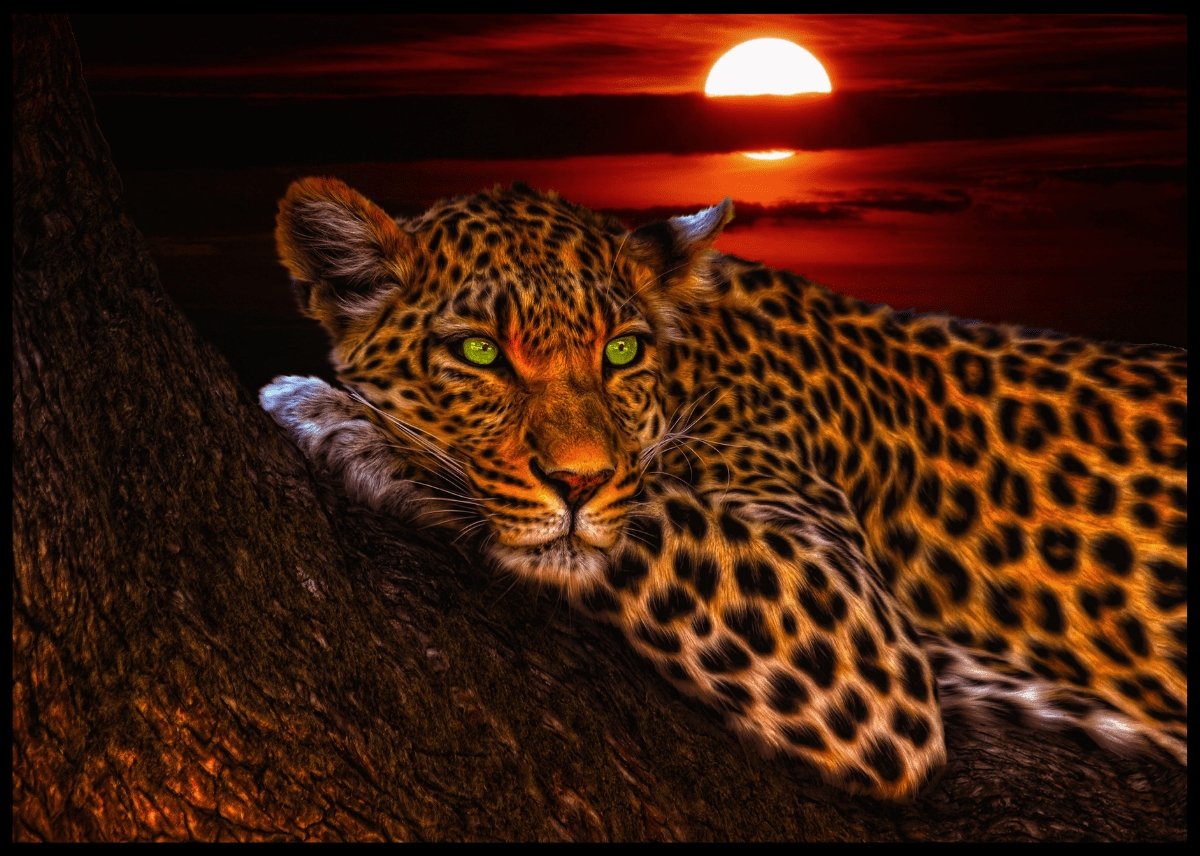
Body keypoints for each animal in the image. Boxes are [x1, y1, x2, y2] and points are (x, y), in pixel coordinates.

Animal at [260, 176, 1186, 801]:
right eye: (480, 352)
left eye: (621, 351)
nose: (578, 481)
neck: (696, 362)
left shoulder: (856, 634)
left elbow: (639, 518)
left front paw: (340, 418)